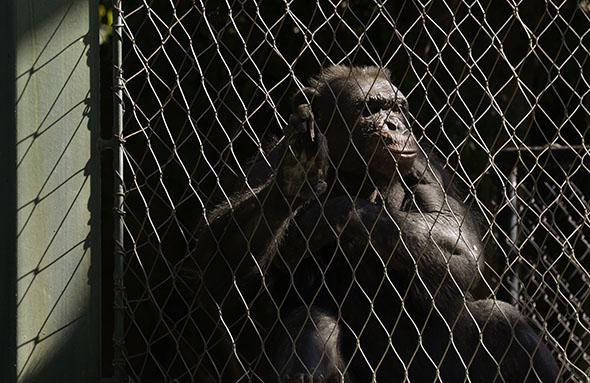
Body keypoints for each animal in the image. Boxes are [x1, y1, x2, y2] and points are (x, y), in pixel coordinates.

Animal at [188, 67, 560, 383]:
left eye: (398, 107)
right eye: (371, 108)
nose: (396, 124)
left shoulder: (428, 165)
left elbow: (461, 245)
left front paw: (335, 214)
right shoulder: (267, 162)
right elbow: (223, 275)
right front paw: (294, 180)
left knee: (505, 324)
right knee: (311, 324)